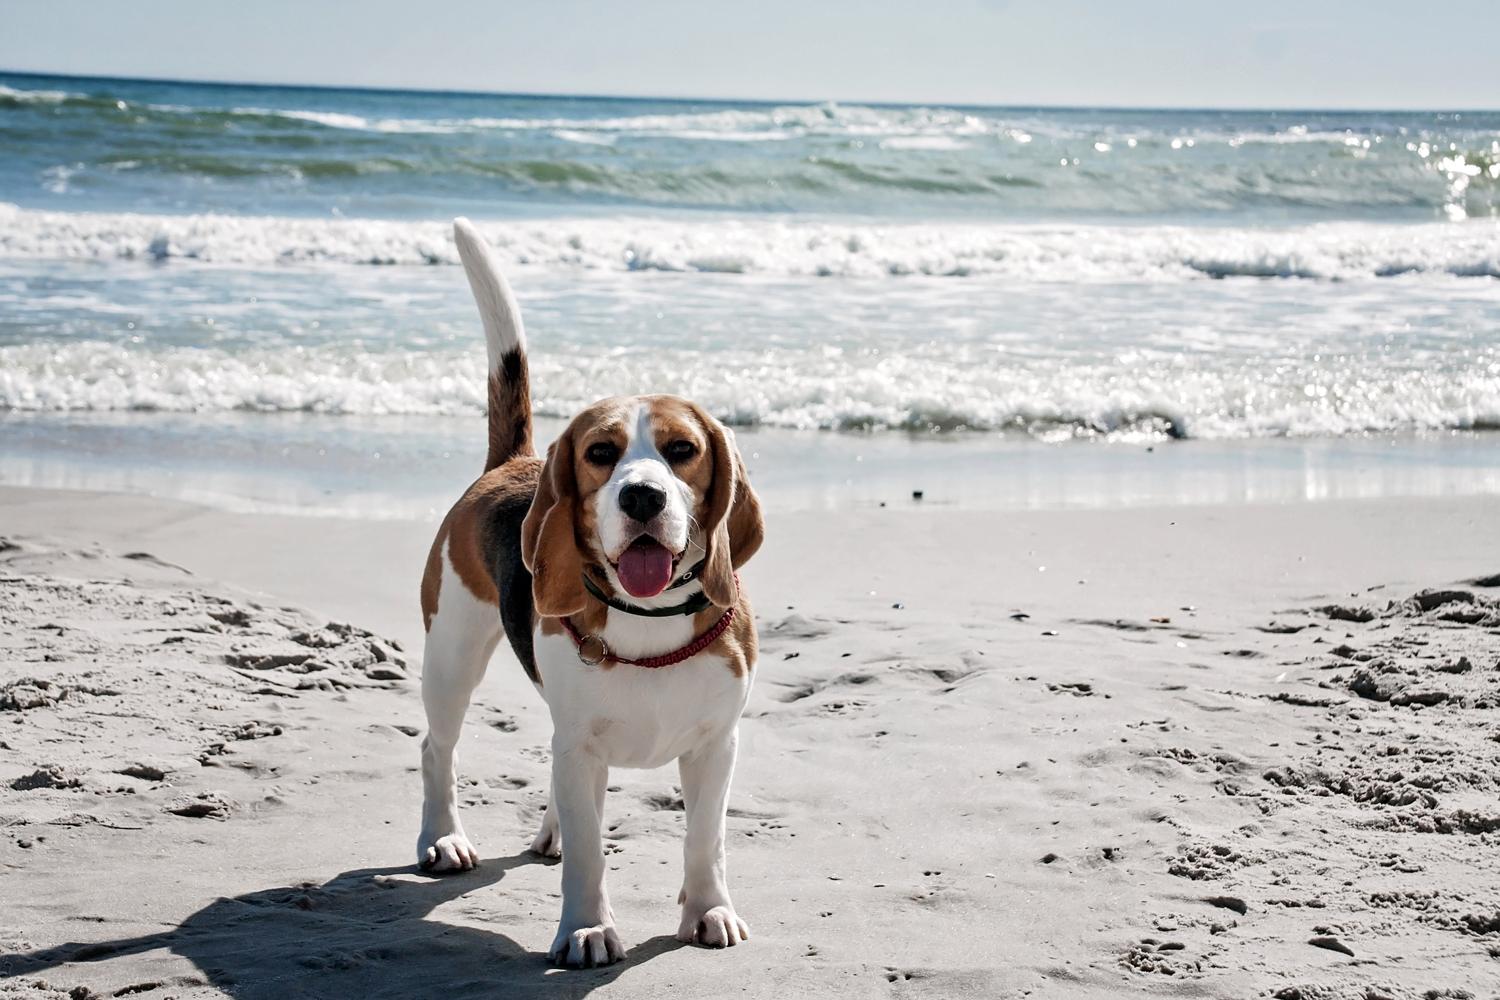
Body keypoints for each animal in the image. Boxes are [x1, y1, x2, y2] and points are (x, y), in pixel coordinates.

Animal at [417, 220, 768, 971]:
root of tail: (512, 461)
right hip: (452, 654)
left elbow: (706, 840)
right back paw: (442, 838)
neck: (650, 620)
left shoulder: (715, 747)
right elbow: (590, 853)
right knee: (438, 747)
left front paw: (709, 910)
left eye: (681, 449)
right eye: (601, 454)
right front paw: (584, 930)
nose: (642, 497)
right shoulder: (581, 749)